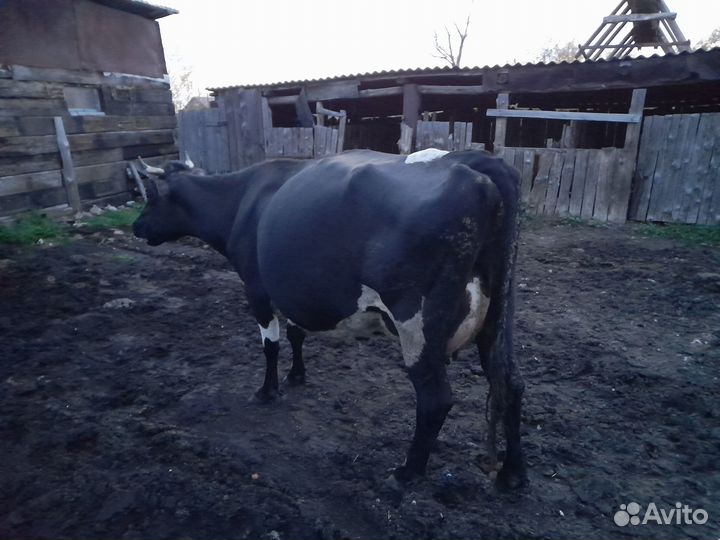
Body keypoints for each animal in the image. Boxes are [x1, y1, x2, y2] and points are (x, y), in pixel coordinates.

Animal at [132, 149, 527, 489]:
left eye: (150, 197)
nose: (136, 227)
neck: (241, 202)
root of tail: (473, 160)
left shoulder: (257, 287)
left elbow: (270, 345)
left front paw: (267, 390)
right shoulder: (294, 288)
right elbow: (296, 334)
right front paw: (297, 375)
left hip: (417, 320)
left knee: (435, 399)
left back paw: (405, 474)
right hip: (498, 313)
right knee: (510, 382)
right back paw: (513, 473)